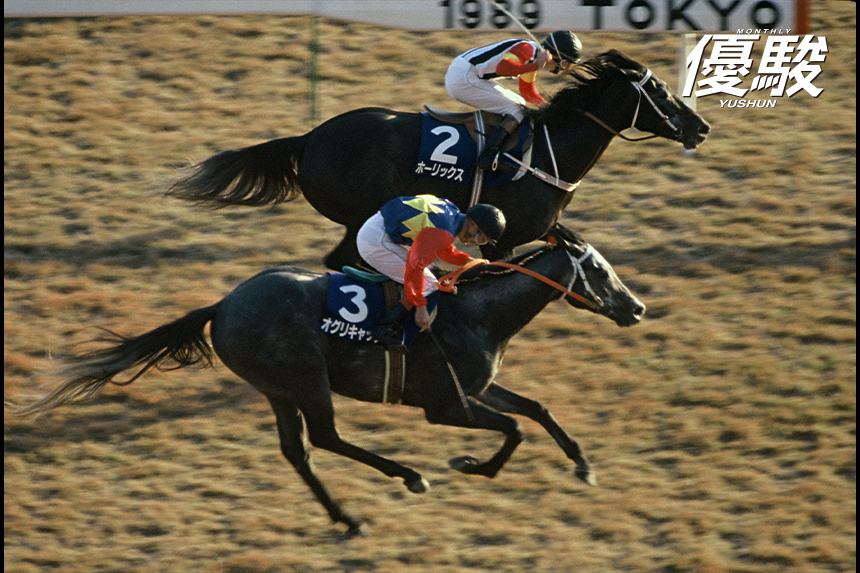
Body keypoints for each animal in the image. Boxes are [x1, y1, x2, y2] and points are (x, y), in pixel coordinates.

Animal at [8, 226, 644, 535]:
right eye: (600, 270)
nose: (635, 308)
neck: (478, 313)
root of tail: (222, 305)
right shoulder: (445, 405)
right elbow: (513, 428)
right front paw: (470, 466)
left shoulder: (478, 388)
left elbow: (537, 409)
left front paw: (583, 466)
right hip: (304, 378)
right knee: (325, 438)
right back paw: (408, 477)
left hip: (277, 389)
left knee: (299, 450)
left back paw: (347, 517)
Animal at [167, 50, 709, 270]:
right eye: (660, 92)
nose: (700, 126)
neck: (549, 152)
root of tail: (311, 137)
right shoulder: (503, 240)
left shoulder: (542, 227)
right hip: (362, 212)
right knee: (344, 260)